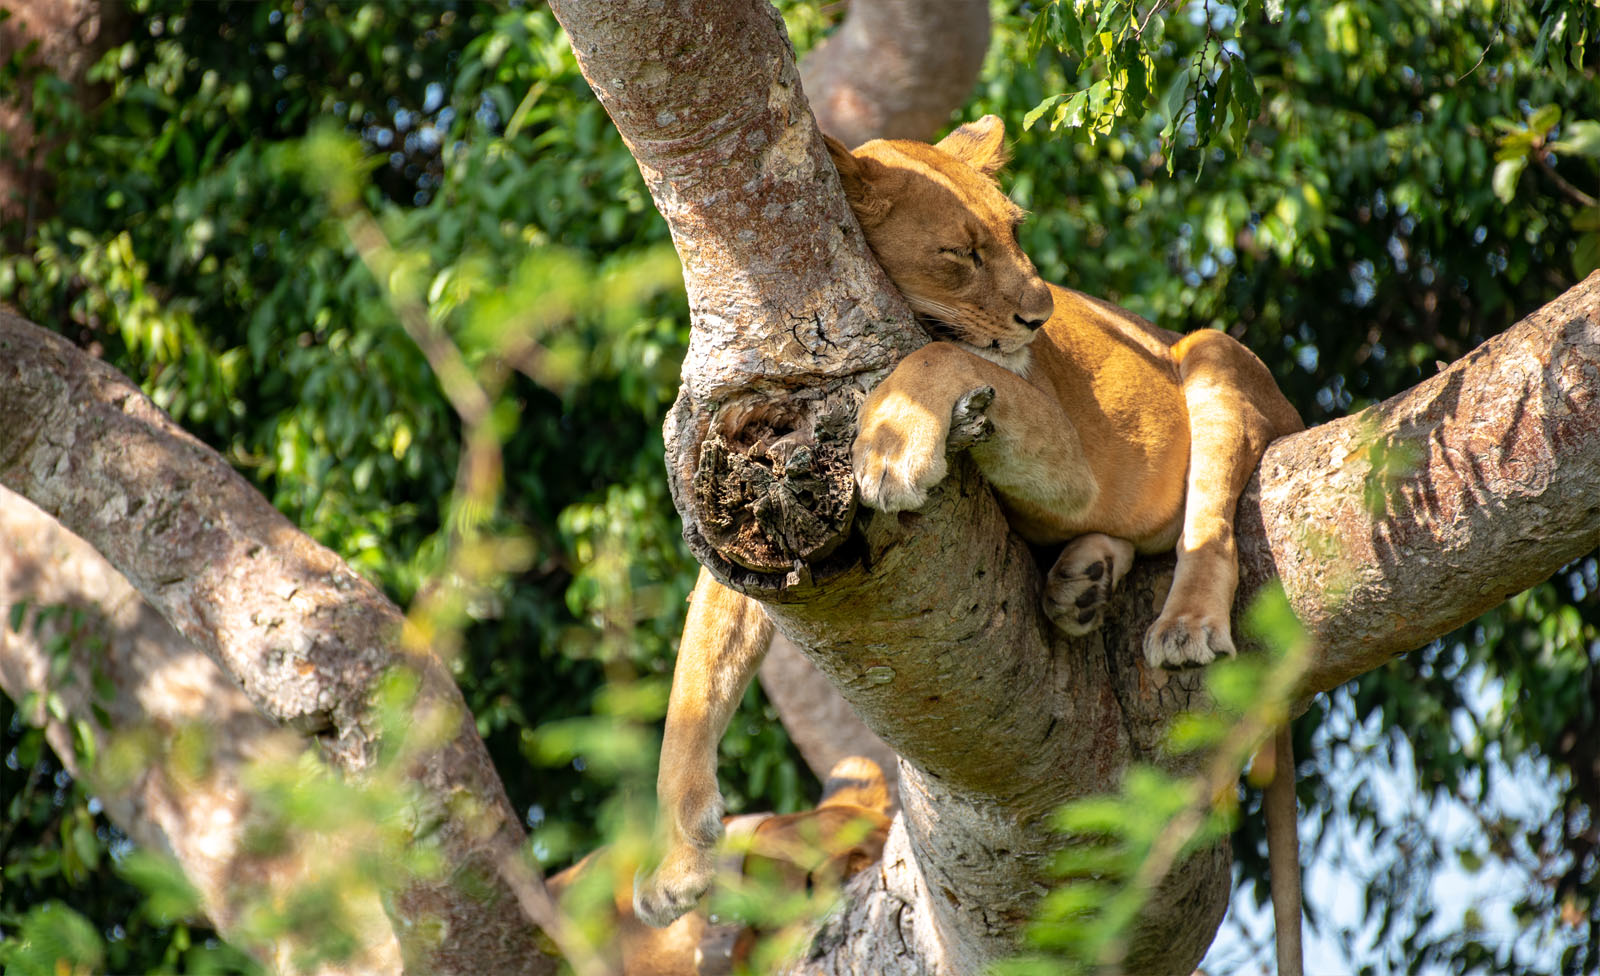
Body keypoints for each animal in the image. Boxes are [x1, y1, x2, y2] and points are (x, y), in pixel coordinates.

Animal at [635, 116, 1305, 940]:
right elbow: (694, 682)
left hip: (1214, 355)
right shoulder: (750, 525)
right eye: (961, 253)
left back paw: (1181, 624)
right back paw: (1081, 586)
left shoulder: (1068, 459)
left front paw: (891, 447)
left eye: (1014, 231)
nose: (1041, 316)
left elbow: (941, 353)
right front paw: (676, 868)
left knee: (1208, 523)